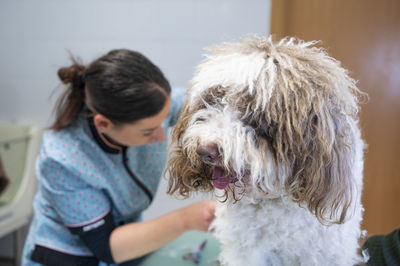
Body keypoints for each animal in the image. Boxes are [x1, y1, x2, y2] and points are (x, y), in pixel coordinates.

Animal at [166, 36, 366, 264]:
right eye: (212, 101)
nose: (204, 150)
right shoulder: (245, 251)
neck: (272, 198)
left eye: (254, 113)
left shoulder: (324, 253)